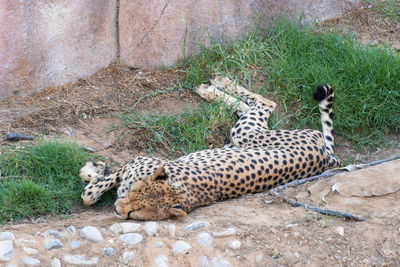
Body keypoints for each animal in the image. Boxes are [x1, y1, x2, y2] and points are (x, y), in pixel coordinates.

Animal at [80, 78, 340, 221]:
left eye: (136, 212)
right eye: (134, 197)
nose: (116, 209)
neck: (182, 192)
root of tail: (329, 158)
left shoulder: (138, 162)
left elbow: (88, 195)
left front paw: (93, 172)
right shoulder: (137, 162)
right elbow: (100, 186)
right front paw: (95, 170)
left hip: (245, 135)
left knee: (264, 104)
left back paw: (213, 87)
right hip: (242, 137)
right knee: (257, 105)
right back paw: (215, 84)